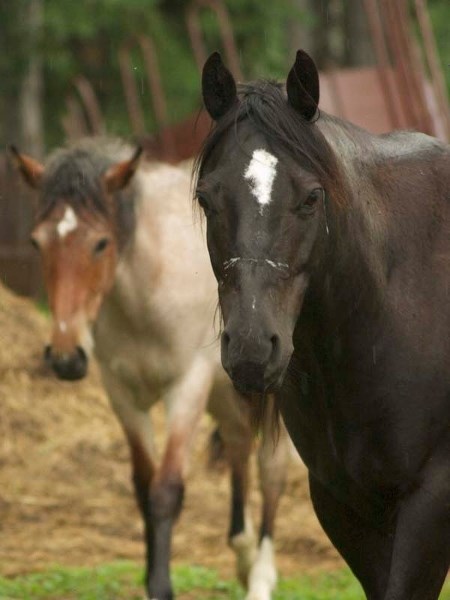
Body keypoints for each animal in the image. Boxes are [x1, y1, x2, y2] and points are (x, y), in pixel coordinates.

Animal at [11, 138, 292, 600]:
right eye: (37, 242)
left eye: (101, 243)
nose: (65, 357)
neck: (147, 291)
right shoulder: (122, 394)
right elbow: (144, 489)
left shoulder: (187, 387)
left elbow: (165, 491)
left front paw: (161, 586)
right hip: (225, 393)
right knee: (238, 445)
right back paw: (243, 553)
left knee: (272, 468)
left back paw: (261, 578)